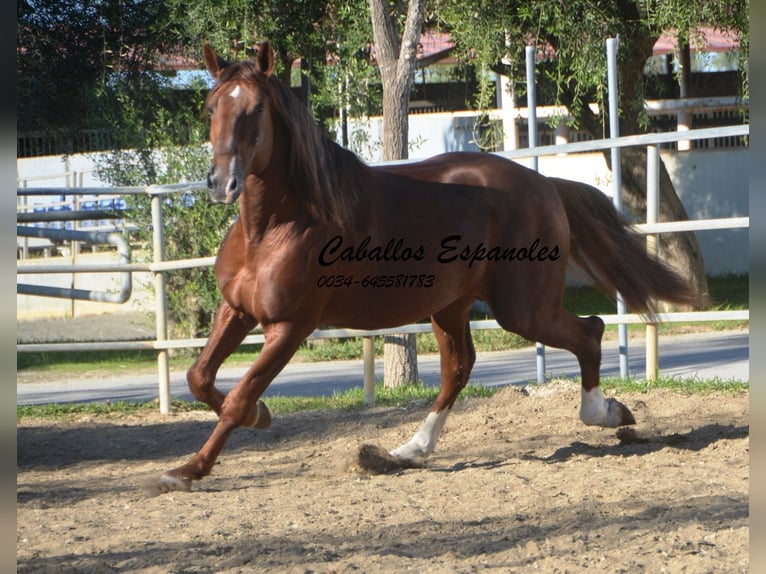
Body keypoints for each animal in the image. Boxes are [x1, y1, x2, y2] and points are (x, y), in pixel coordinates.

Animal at [159, 44, 700, 496]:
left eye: (256, 110)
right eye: (211, 107)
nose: (221, 183)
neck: (277, 228)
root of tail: (545, 184)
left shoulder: (290, 327)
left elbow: (236, 395)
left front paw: (187, 470)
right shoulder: (236, 310)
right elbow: (199, 378)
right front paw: (262, 417)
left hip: (522, 309)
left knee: (589, 331)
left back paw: (604, 412)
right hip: (451, 306)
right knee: (459, 369)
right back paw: (409, 450)